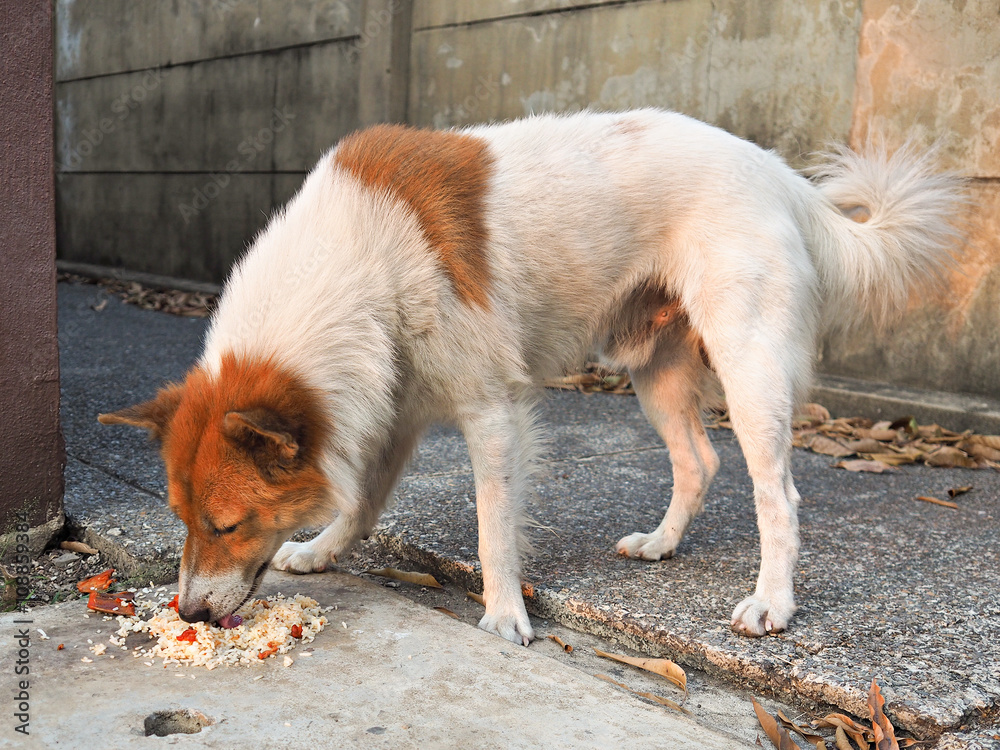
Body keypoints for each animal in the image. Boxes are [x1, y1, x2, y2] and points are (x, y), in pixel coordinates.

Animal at [99, 110, 960, 648]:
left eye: (226, 525)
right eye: (181, 518)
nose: (188, 610)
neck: (355, 263)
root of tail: (783, 177)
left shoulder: (492, 414)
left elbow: (492, 528)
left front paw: (506, 616)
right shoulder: (395, 408)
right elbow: (362, 501)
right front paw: (320, 551)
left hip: (749, 366)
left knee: (775, 493)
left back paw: (772, 603)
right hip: (653, 369)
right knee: (699, 460)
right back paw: (661, 543)